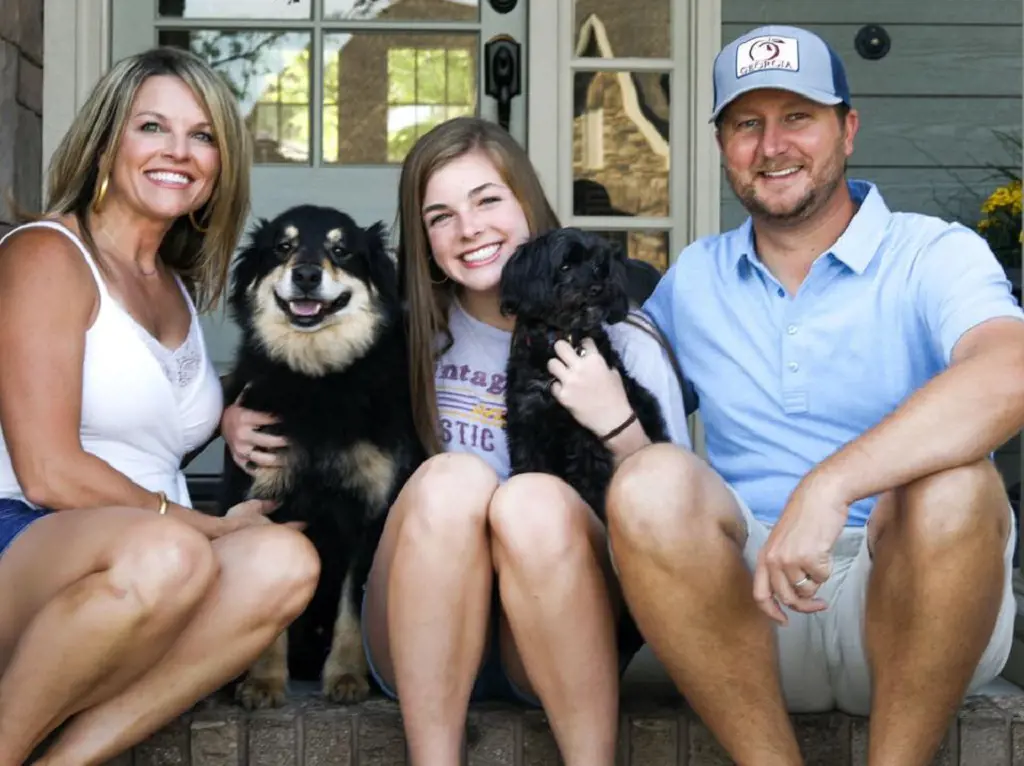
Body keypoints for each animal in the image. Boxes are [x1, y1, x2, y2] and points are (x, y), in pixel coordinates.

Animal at [220, 204, 419, 712]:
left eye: (341, 249)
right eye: (283, 246)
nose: (307, 275)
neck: (318, 380)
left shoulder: (370, 513)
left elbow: (352, 608)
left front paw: (347, 676)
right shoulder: (266, 501)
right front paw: (264, 682)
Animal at [501, 224, 675, 518]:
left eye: (599, 266)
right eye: (565, 265)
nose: (597, 288)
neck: (561, 341)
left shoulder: (587, 432)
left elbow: (590, 476)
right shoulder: (527, 421)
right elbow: (531, 468)